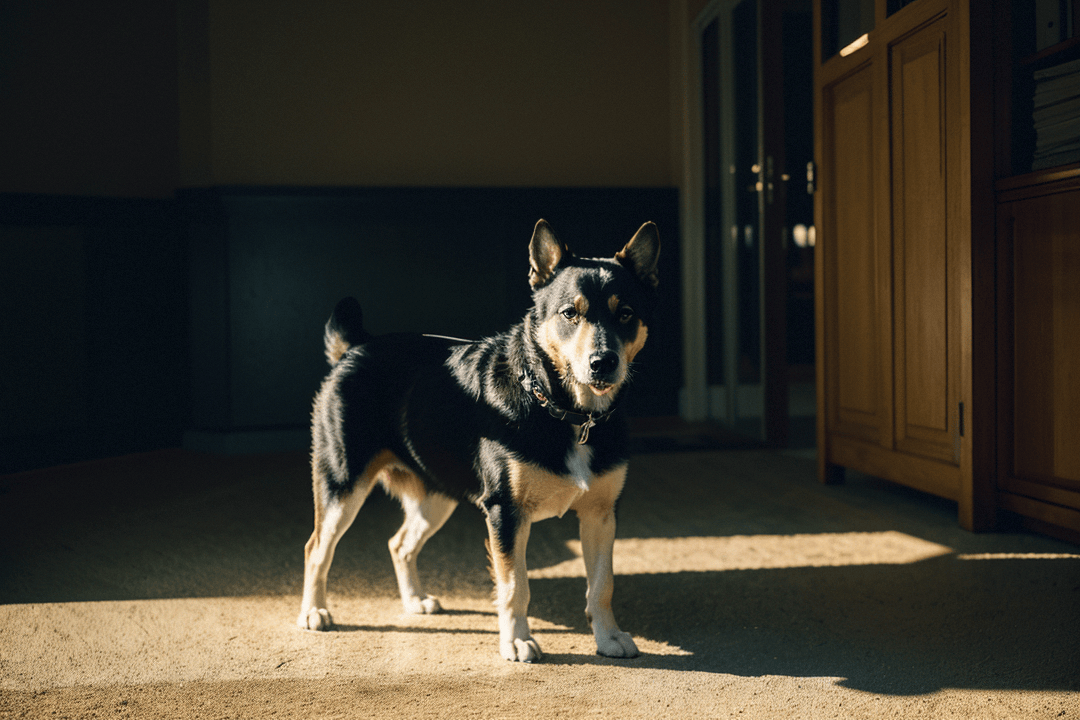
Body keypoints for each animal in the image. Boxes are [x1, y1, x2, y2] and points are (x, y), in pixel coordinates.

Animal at [300, 220, 660, 664]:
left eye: (625, 314)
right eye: (570, 313)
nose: (603, 363)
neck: (564, 411)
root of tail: (355, 348)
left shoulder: (601, 513)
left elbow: (602, 584)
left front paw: (608, 637)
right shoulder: (506, 513)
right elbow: (515, 587)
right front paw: (517, 641)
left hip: (436, 496)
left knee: (399, 544)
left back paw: (414, 600)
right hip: (342, 486)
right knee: (316, 548)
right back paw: (314, 611)